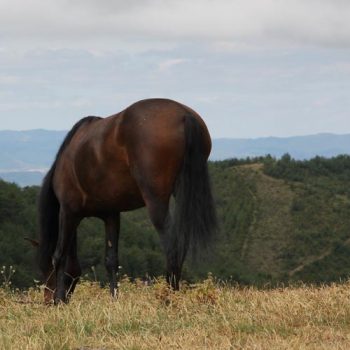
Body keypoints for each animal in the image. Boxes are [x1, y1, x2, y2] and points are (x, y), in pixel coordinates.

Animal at [36, 98, 216, 304]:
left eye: (44, 270)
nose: (47, 300)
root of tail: (184, 115)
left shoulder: (67, 211)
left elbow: (60, 255)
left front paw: (59, 300)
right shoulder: (111, 214)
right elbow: (111, 260)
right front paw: (114, 300)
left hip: (156, 202)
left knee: (172, 246)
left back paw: (168, 298)